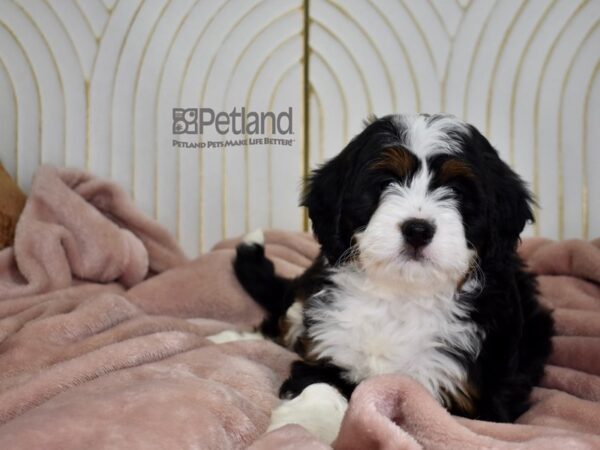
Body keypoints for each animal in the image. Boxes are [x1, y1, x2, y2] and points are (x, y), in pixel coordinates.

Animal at [233, 114, 552, 424]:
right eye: (386, 182)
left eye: (456, 191)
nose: (418, 230)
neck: (402, 293)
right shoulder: (328, 345)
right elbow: (321, 381)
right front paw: (307, 420)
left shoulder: (466, 392)